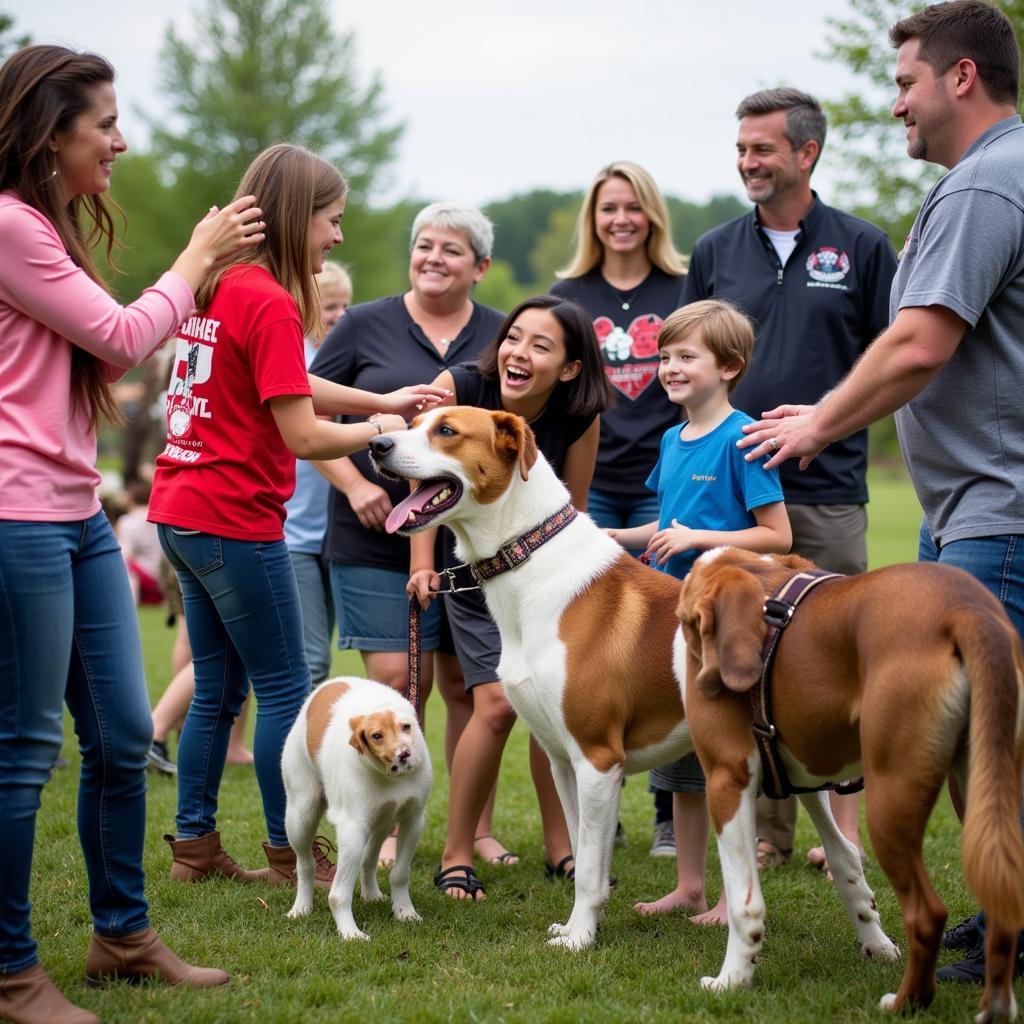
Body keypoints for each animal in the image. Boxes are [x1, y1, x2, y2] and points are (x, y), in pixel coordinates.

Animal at [280, 675, 432, 937]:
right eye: (376, 736)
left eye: (406, 727)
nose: (404, 754)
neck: (391, 777)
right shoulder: (352, 829)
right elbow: (338, 894)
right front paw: (349, 933)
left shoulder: (412, 821)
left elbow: (400, 874)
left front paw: (405, 913)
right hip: (301, 815)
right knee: (305, 864)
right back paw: (301, 908)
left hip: (382, 823)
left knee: (369, 859)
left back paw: (371, 894)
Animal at [366, 409, 897, 983]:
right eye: (415, 420)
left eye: (446, 430)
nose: (377, 444)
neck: (529, 561)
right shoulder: (563, 762)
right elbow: (584, 855)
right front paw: (578, 926)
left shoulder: (600, 760)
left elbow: (588, 868)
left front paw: (580, 939)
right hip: (791, 761)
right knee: (845, 855)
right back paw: (878, 944)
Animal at [679, 548, 1024, 1019]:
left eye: (686, 622)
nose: (692, 674)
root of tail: (968, 608)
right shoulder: (805, 777)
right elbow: (844, 860)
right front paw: (874, 942)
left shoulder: (727, 782)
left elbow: (743, 902)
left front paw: (733, 979)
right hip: (984, 791)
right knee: (1004, 908)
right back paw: (997, 1007)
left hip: (890, 800)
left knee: (927, 914)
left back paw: (906, 1002)